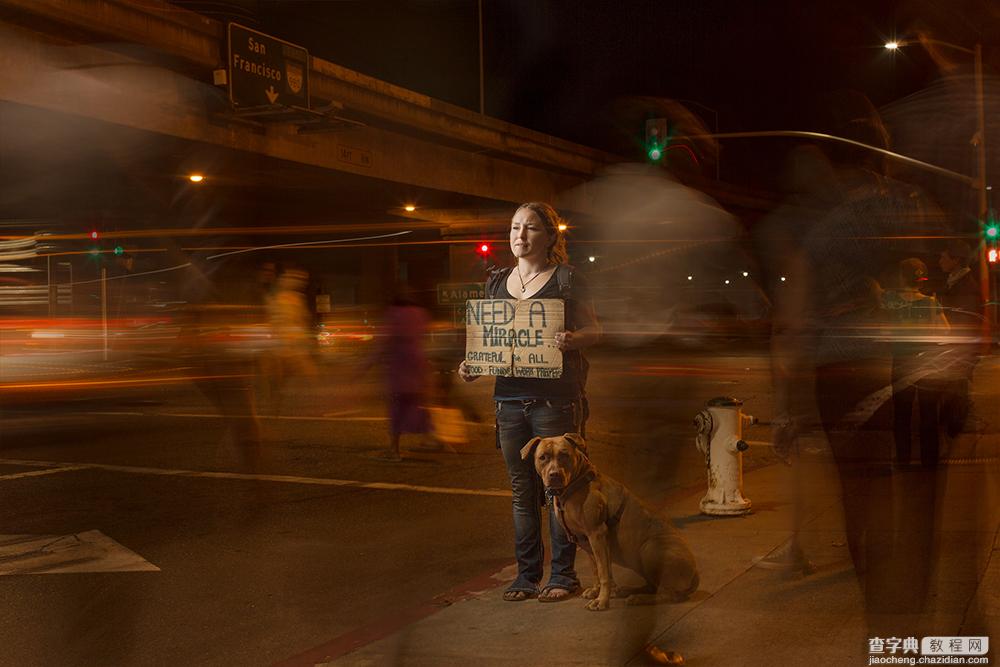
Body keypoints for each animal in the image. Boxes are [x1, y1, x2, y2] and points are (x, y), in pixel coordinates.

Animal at [524, 434, 696, 612]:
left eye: (564, 455)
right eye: (543, 457)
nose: (554, 475)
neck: (575, 484)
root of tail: (695, 574)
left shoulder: (597, 534)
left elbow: (603, 573)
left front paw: (601, 600)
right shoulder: (586, 540)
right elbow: (596, 570)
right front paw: (596, 591)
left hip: (649, 549)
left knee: (666, 594)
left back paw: (639, 598)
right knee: (653, 586)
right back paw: (628, 591)